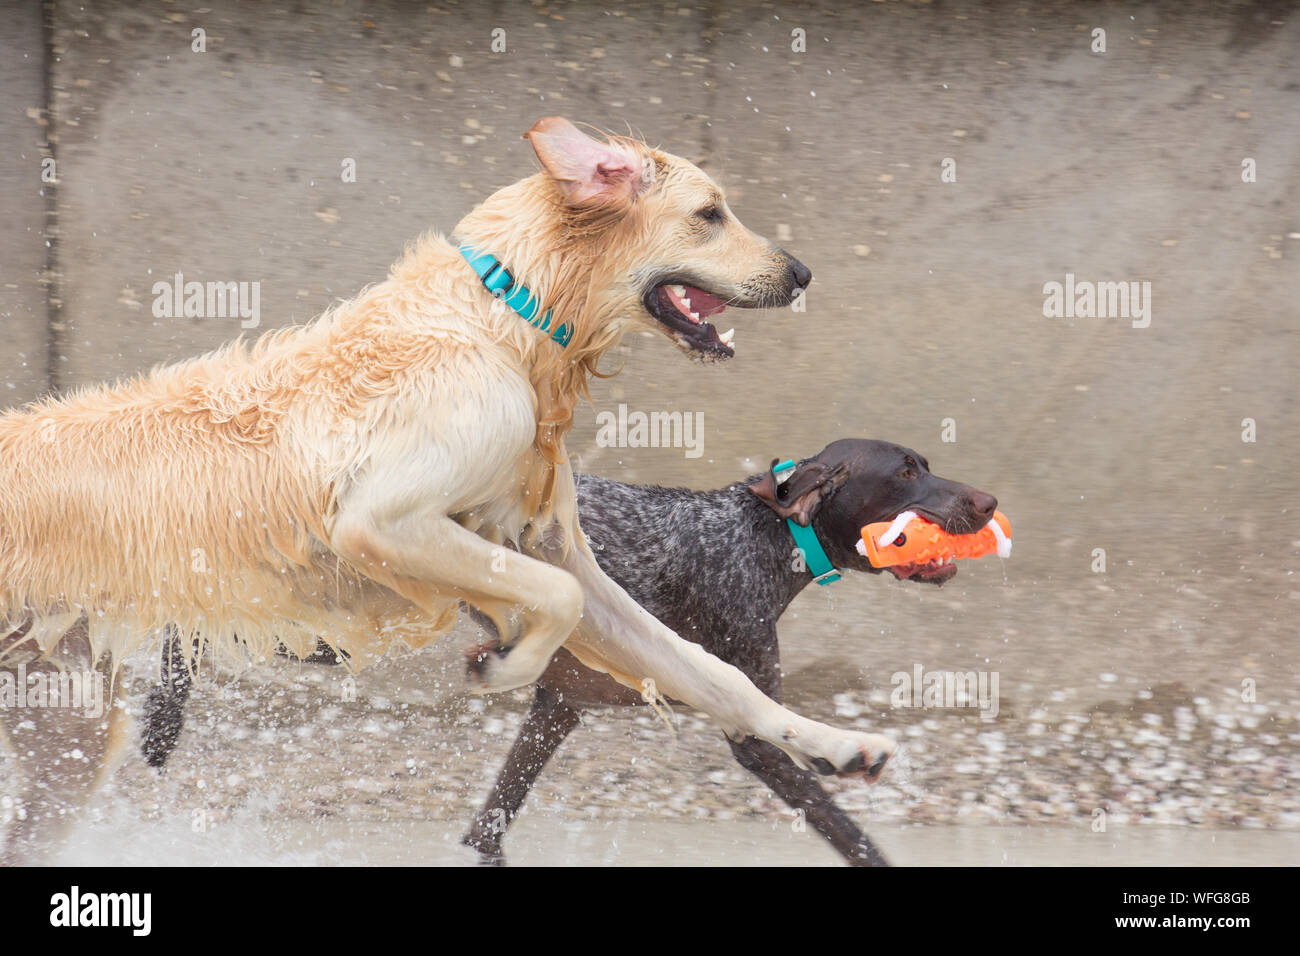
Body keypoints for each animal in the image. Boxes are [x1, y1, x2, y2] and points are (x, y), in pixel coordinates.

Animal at [0, 115, 894, 863]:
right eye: (710, 213)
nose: (802, 272)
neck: (508, 318)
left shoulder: (555, 547)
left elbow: (711, 674)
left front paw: (833, 744)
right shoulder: (380, 521)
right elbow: (550, 602)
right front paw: (504, 658)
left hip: (59, 725)